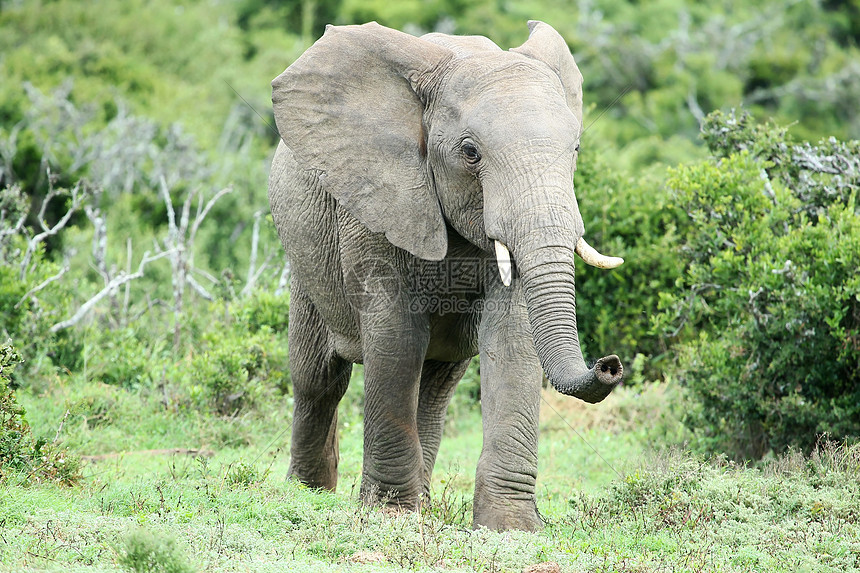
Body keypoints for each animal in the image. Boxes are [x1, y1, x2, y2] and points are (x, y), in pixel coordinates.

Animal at [268, 20, 624, 528]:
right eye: (470, 152)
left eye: (575, 148)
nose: (609, 364)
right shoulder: (375, 199)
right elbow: (396, 337)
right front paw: (390, 516)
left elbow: (512, 337)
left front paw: (510, 528)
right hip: (303, 255)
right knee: (318, 378)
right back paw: (308, 491)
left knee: (434, 390)